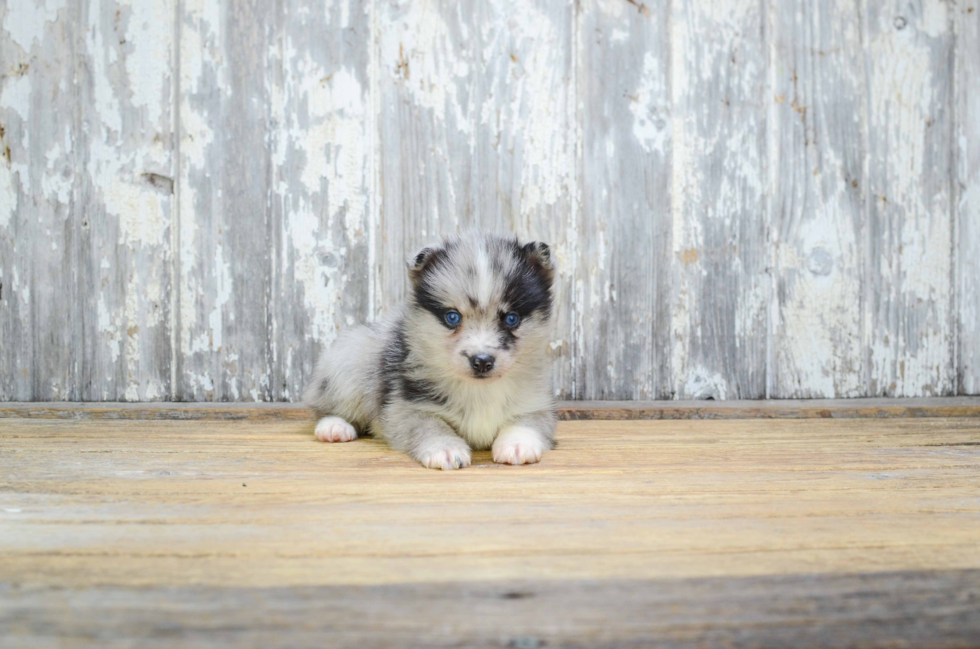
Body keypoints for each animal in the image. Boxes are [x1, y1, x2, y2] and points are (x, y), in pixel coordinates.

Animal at [302, 230, 556, 468]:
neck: (479, 390)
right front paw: (445, 448)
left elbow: (527, 422)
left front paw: (518, 444)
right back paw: (334, 427)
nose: (482, 361)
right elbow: (431, 425)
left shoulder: (537, 403)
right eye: (452, 317)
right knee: (324, 406)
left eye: (512, 319)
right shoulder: (407, 407)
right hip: (352, 363)